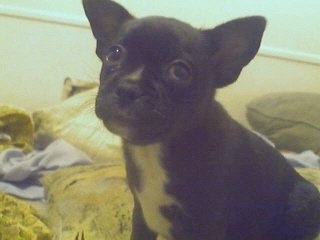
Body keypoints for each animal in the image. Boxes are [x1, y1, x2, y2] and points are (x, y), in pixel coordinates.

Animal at [82, 0, 320, 239]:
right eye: (114, 54)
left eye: (179, 71)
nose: (128, 88)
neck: (156, 149)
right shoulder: (142, 215)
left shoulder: (206, 225)